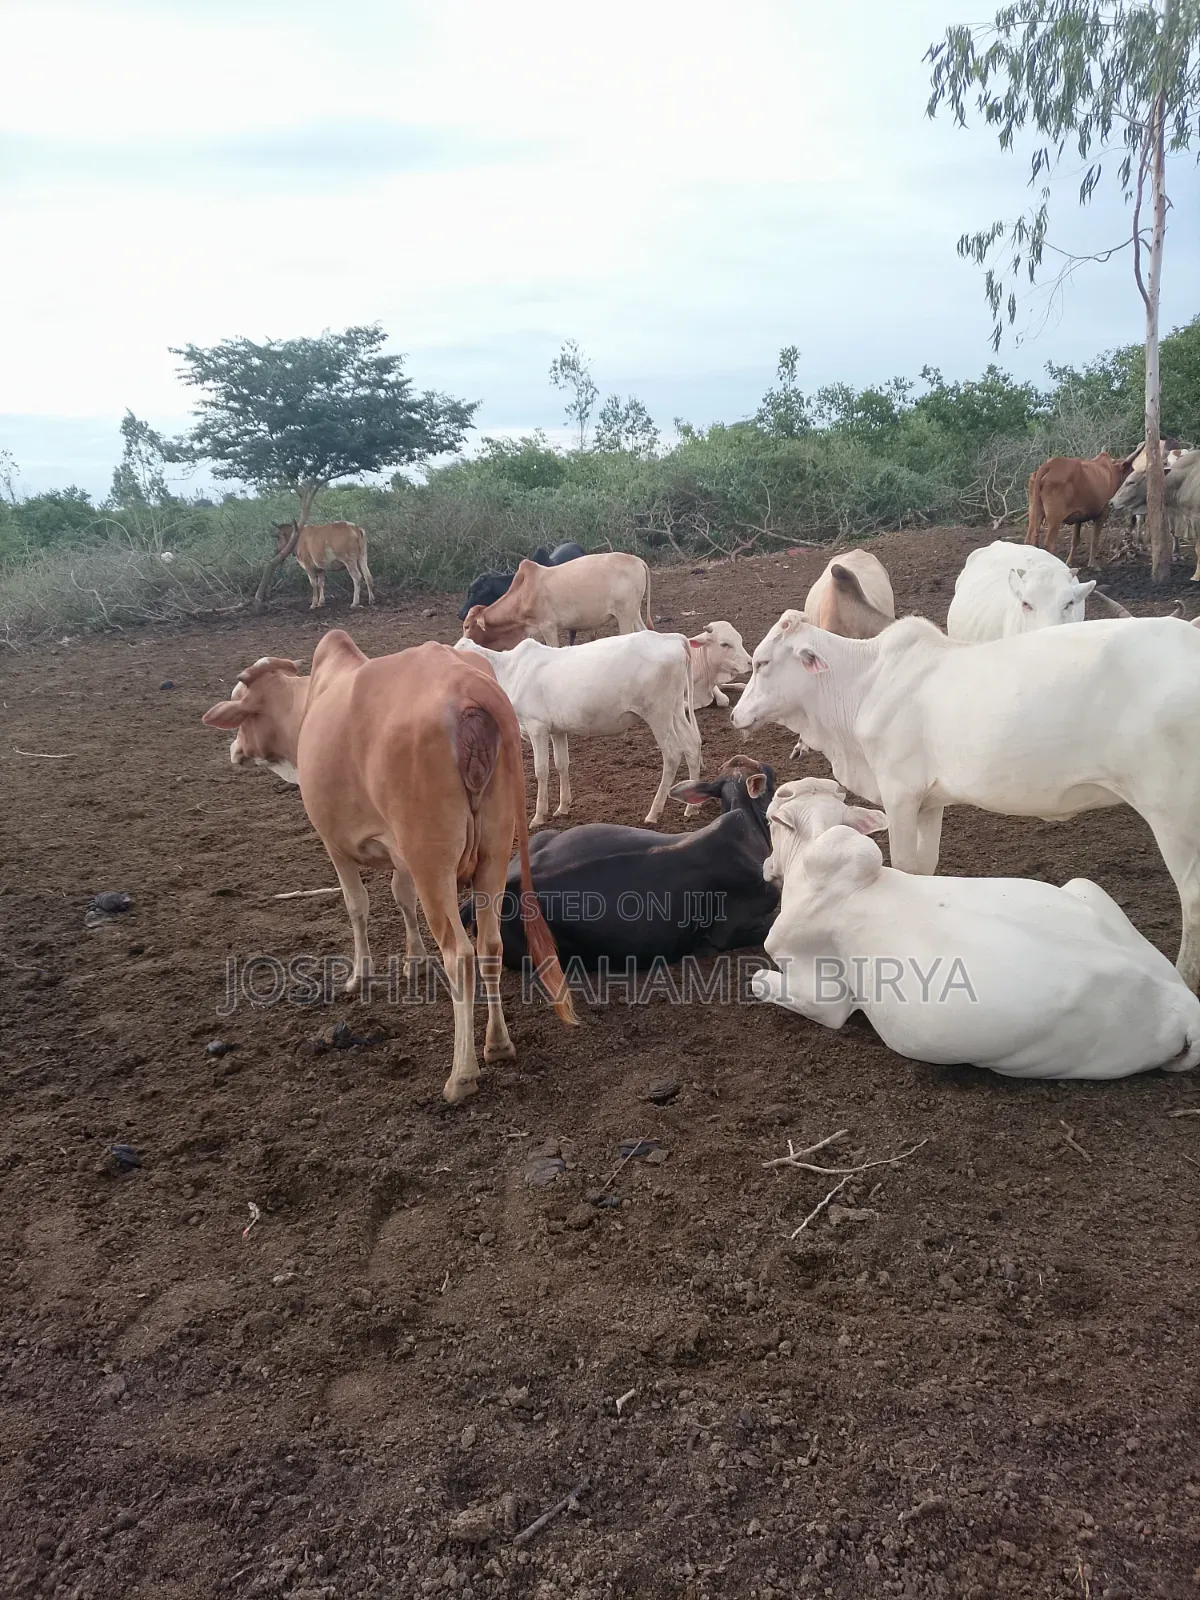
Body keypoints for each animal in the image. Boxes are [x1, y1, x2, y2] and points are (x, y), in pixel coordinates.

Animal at [201, 632, 577, 1103]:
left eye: (240, 705)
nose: (234, 750)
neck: (307, 705)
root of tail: (470, 686)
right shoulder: (401, 855)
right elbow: (402, 897)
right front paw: (413, 960)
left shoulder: (336, 843)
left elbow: (356, 905)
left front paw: (359, 975)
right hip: (492, 850)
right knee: (489, 945)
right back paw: (498, 1044)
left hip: (433, 861)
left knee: (460, 955)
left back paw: (462, 1073)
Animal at [455, 630, 701, 825]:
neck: (510, 672)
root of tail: (670, 637)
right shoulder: (557, 730)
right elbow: (562, 764)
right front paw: (562, 807)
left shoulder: (537, 726)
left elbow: (541, 769)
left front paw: (539, 816)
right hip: (675, 709)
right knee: (691, 746)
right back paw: (692, 807)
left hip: (658, 714)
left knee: (672, 755)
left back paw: (654, 812)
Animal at [461, 551, 653, 649]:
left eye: (467, 626)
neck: (523, 594)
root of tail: (637, 560)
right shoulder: (534, 632)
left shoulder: (548, 627)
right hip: (634, 612)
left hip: (625, 615)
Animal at [731, 609, 1200, 989]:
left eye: (762, 662)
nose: (735, 715)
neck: (860, 689)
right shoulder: (928, 800)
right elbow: (925, 865)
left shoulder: (899, 794)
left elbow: (904, 864)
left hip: (1174, 814)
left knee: (1192, 896)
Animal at [751, 782, 1200, 1080]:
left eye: (770, 818)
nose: (765, 865)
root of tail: (1183, 1003)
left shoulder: (823, 994)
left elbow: (761, 981)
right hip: (1085, 887)